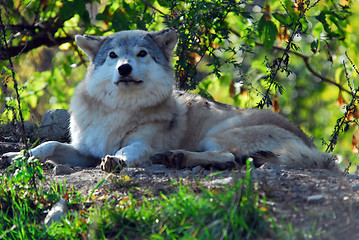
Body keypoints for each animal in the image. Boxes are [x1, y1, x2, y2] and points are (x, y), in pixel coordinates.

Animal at [2, 29, 338, 172]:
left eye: (141, 54)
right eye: (112, 55)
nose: (124, 68)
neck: (118, 111)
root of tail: (314, 149)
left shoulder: (140, 143)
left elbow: (128, 150)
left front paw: (118, 160)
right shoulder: (86, 151)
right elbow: (49, 145)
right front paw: (20, 155)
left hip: (219, 134)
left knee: (228, 158)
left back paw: (177, 158)